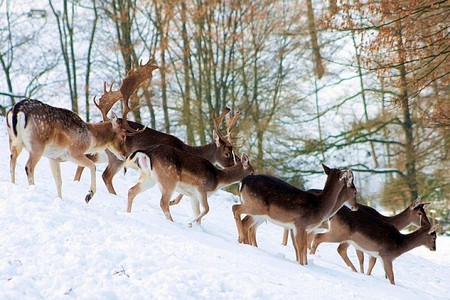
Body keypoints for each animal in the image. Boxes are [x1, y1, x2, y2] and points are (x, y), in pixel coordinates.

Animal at [126, 145, 255, 225]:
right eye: (252, 171)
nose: (254, 177)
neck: (218, 180)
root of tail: (147, 152)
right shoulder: (201, 189)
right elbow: (207, 209)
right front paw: (189, 222)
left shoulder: (193, 196)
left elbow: (198, 213)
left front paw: (196, 226)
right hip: (168, 180)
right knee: (163, 203)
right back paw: (172, 222)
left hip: (148, 177)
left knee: (131, 190)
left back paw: (127, 212)